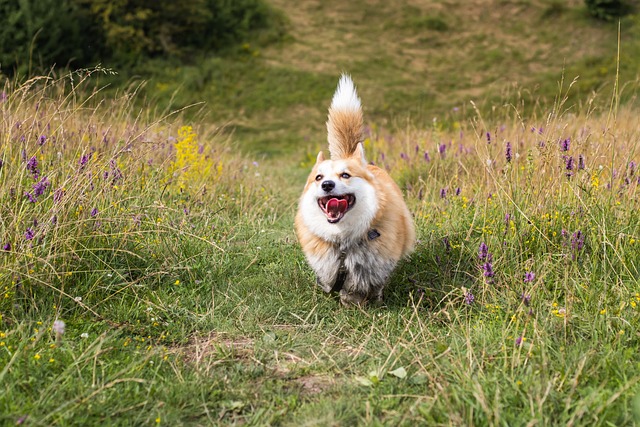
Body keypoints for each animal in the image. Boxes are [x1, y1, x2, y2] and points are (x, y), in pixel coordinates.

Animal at [294, 74, 416, 308]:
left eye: (345, 175)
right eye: (318, 178)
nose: (327, 185)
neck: (344, 239)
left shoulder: (378, 262)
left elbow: (369, 285)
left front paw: (366, 302)